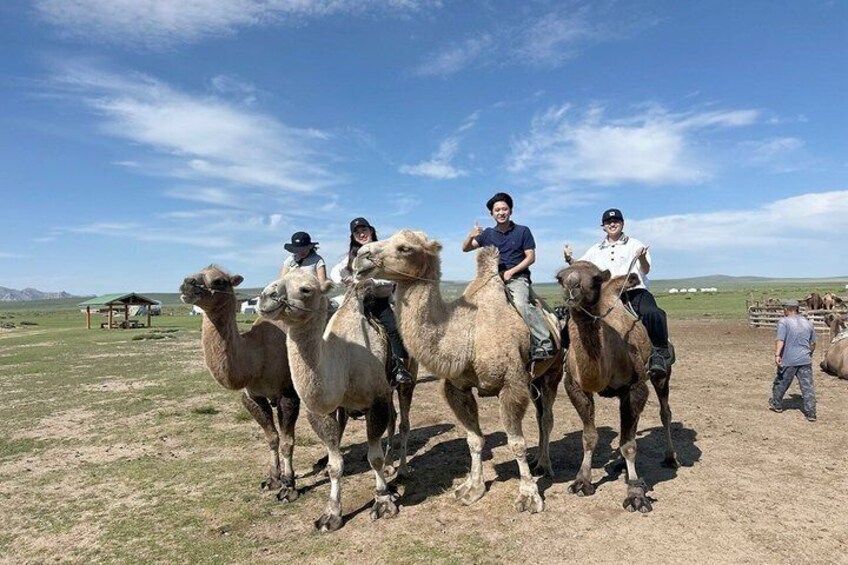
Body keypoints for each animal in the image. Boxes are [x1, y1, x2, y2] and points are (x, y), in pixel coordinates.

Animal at [179, 265, 299, 502]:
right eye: (193, 273)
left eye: (219, 281)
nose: (187, 283)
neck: (258, 354)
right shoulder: (253, 396)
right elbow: (272, 438)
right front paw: (272, 480)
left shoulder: (288, 393)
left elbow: (287, 441)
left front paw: (289, 487)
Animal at [257, 270, 414, 531]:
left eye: (306, 289)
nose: (265, 296)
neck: (344, 360)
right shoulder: (325, 411)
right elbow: (334, 464)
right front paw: (331, 514)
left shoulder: (376, 400)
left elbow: (374, 458)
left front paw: (383, 501)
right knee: (392, 421)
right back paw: (392, 464)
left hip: (406, 380)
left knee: (403, 423)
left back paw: (401, 470)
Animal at [353, 230, 563, 514]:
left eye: (405, 248)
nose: (360, 256)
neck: (468, 334)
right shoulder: (457, 387)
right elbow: (473, 439)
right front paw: (472, 488)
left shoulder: (512, 383)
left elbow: (516, 442)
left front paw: (529, 496)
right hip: (535, 380)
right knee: (541, 415)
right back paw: (539, 462)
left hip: (554, 370)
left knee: (547, 417)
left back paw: (545, 465)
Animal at [555, 260, 678, 513]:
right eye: (559, 278)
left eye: (595, 279)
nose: (572, 287)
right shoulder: (576, 386)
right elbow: (589, 436)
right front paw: (582, 482)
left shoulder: (636, 387)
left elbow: (629, 445)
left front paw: (636, 494)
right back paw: (621, 465)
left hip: (661, 374)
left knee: (665, 412)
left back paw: (670, 457)